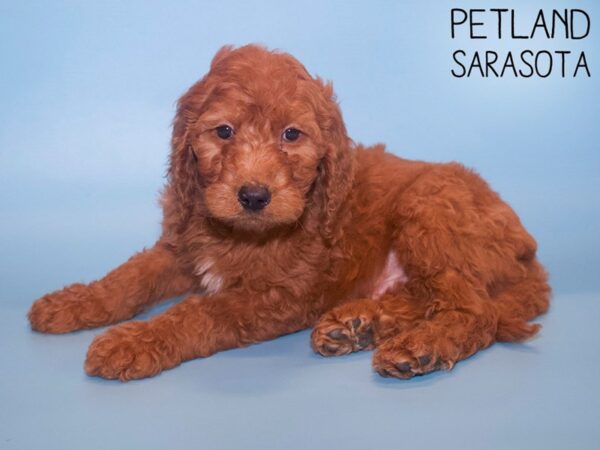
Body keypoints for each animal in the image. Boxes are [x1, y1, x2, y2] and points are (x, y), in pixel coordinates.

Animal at [28, 44, 550, 381]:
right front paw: (71, 303)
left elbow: (199, 310)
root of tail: (530, 252)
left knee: (476, 311)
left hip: (429, 211)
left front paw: (133, 342)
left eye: (291, 135)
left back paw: (417, 348)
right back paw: (357, 325)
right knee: (427, 296)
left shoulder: (277, 294)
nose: (254, 195)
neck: (240, 233)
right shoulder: (180, 245)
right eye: (223, 131)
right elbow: (128, 278)